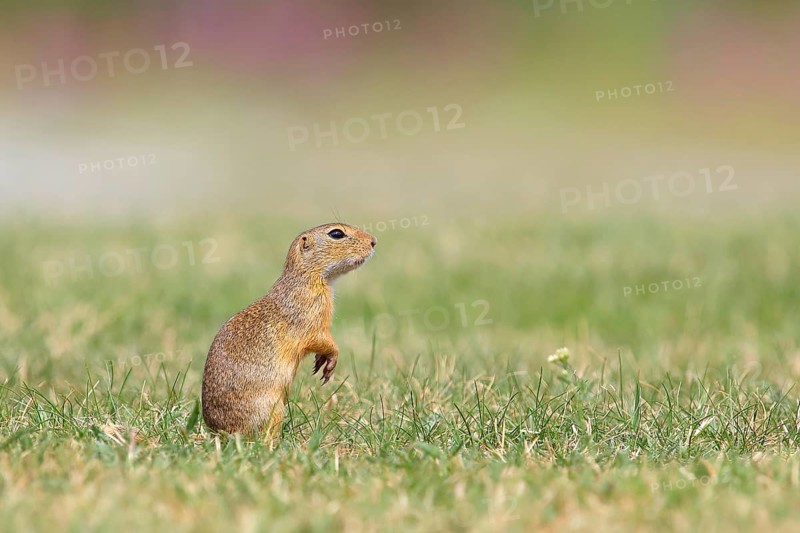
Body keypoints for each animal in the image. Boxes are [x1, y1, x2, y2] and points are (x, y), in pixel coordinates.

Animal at [201, 223, 376, 437]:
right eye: (336, 233)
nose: (373, 241)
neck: (306, 277)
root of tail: (219, 432)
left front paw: (320, 362)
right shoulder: (310, 315)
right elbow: (321, 339)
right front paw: (330, 361)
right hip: (274, 409)